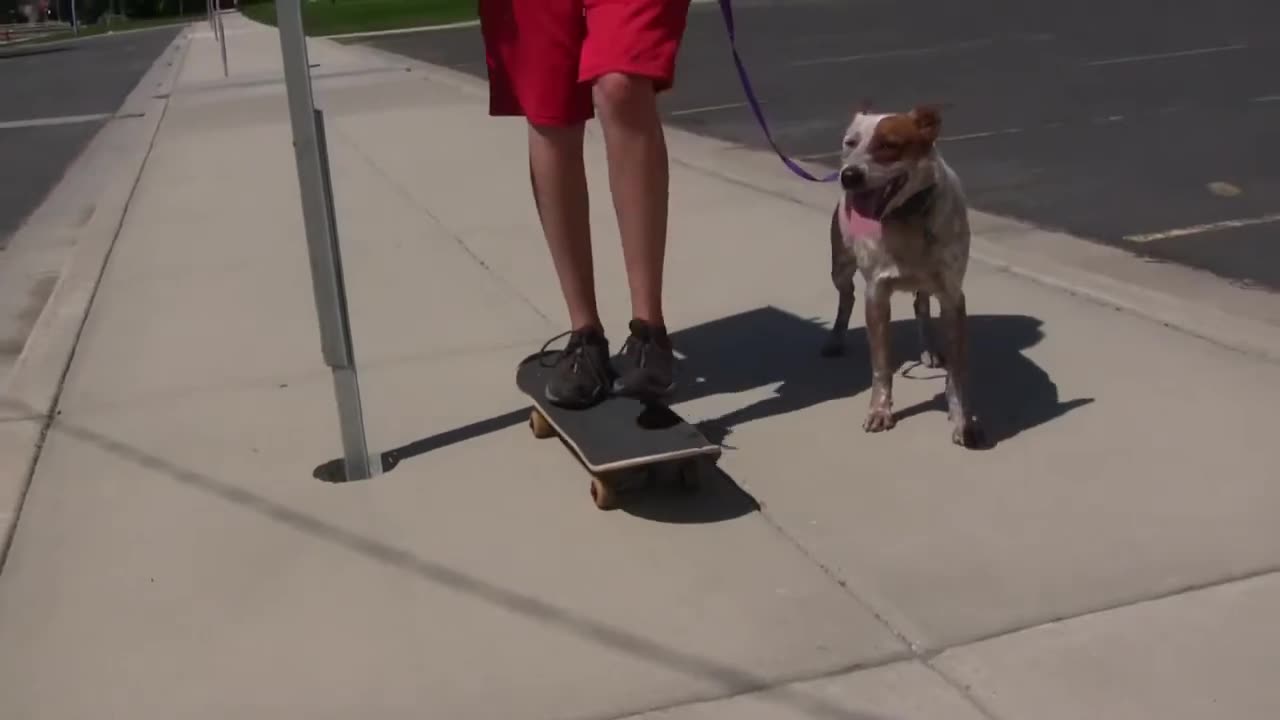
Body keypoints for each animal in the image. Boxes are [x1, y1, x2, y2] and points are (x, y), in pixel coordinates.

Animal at [819, 103, 988, 445]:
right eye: (850, 143)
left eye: (889, 145)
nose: (849, 175)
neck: (907, 217)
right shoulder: (877, 293)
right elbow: (881, 364)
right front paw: (879, 411)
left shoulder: (952, 295)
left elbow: (957, 371)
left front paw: (962, 419)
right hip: (840, 266)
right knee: (847, 296)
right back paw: (835, 338)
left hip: (928, 283)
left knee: (920, 306)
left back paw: (929, 351)